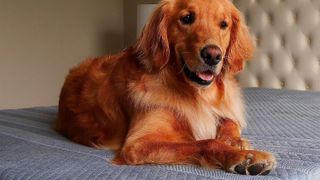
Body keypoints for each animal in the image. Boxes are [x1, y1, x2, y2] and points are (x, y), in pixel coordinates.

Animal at [55, 0, 276, 175]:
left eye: (224, 24)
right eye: (187, 18)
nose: (213, 55)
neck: (195, 93)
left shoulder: (224, 109)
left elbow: (230, 122)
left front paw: (234, 142)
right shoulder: (138, 144)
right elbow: (206, 142)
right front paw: (245, 157)